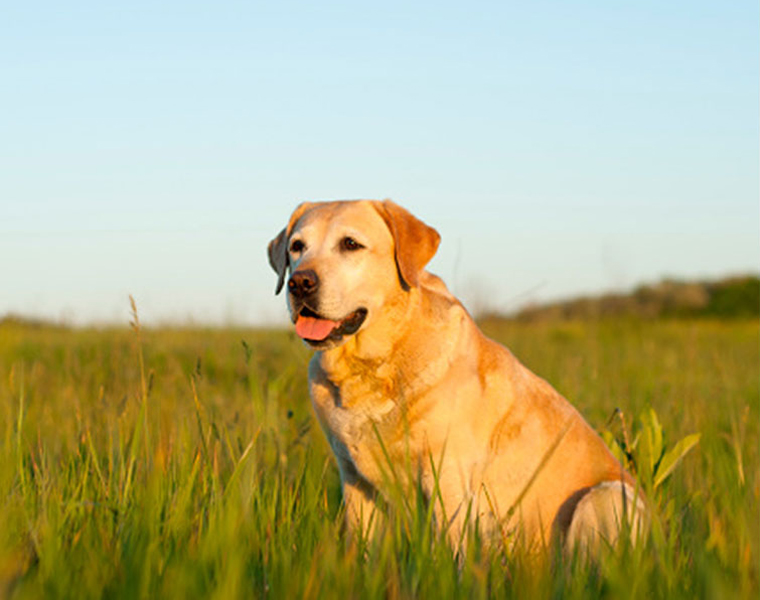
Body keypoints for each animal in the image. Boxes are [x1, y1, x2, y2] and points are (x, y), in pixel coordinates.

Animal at [268, 202, 648, 552]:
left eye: (350, 244)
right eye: (297, 247)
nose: (299, 282)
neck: (374, 364)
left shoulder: (447, 477)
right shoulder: (355, 481)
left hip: (603, 497)